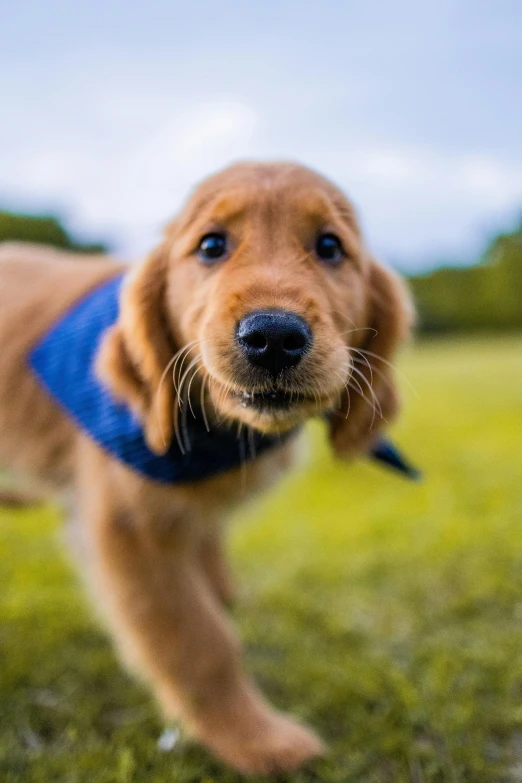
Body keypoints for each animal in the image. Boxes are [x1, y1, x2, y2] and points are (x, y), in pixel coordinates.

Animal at [0, 162, 410, 776]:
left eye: (330, 247)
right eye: (212, 245)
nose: (273, 336)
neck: (221, 434)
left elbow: (210, 573)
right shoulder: (132, 530)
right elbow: (200, 640)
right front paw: (256, 741)